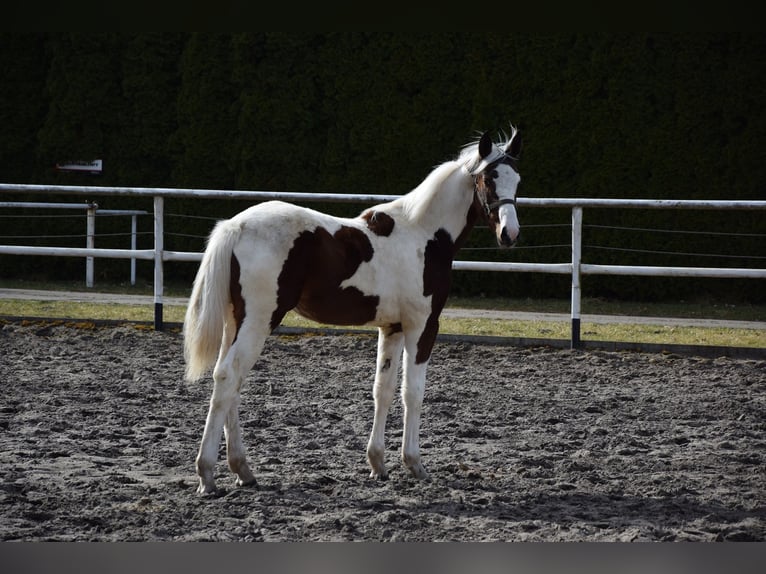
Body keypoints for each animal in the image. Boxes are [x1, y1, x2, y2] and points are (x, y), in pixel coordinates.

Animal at [183, 127, 522, 495]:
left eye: (517, 180)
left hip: (237, 321)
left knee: (228, 381)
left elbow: (383, 390)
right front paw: (414, 463)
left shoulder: (393, 328)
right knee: (229, 376)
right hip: (259, 321)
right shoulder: (422, 326)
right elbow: (413, 392)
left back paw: (242, 470)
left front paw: (378, 464)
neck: (424, 235)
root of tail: (236, 226)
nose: (510, 234)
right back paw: (207, 474)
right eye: (488, 179)